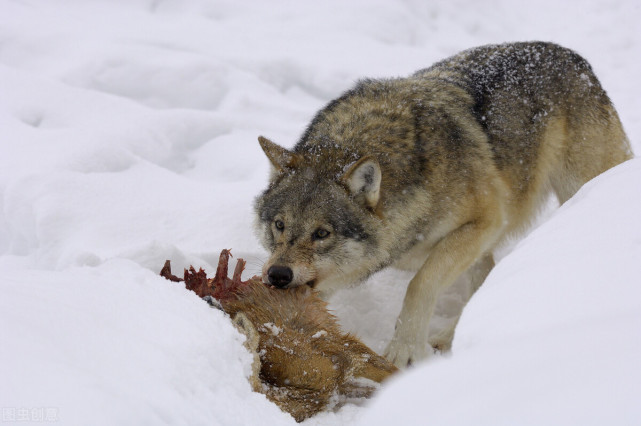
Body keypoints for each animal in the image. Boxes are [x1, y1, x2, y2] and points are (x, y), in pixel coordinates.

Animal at [252, 44, 632, 370]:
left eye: (322, 233)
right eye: (279, 225)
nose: (278, 275)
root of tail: (574, 57)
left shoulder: (486, 221)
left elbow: (420, 284)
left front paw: (404, 350)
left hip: (575, 186)